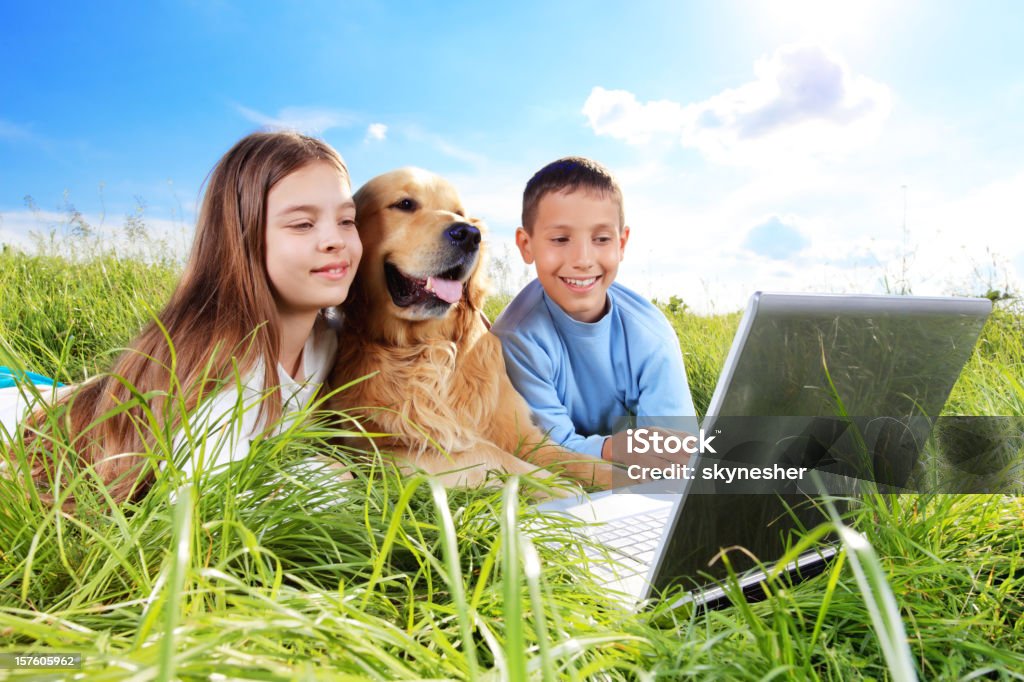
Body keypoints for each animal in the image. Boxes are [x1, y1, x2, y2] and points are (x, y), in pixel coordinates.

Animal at [331, 169, 610, 489]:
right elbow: (491, 455)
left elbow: (585, 462)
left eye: (460, 213)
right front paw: (566, 489)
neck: (429, 346)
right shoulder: (383, 451)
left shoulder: (525, 435)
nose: (468, 234)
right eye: (404, 204)